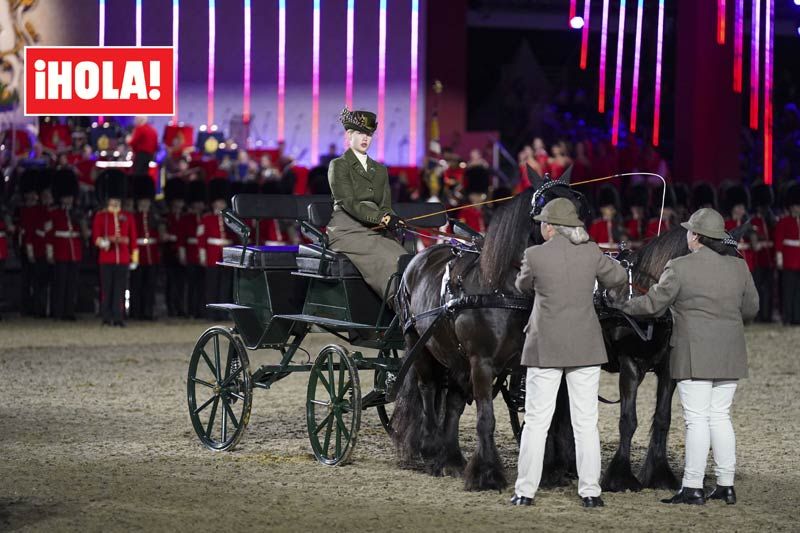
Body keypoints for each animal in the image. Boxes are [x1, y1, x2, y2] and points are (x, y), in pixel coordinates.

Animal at [392, 168, 588, 488]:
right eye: (545, 206)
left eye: (578, 204)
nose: (580, 242)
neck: (504, 290)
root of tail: (418, 258)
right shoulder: (482, 363)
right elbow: (486, 418)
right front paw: (487, 473)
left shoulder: (524, 364)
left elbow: (540, 415)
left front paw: (546, 469)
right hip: (418, 345)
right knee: (428, 389)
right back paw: (431, 450)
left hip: (455, 357)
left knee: (453, 401)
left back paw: (452, 458)